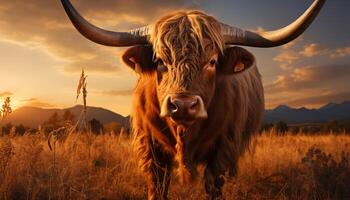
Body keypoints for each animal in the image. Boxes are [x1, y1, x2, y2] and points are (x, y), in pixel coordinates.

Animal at [61, 0, 326, 199]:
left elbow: (214, 187)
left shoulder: (223, 151)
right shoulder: (151, 149)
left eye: (212, 61)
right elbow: (158, 187)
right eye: (159, 61)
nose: (183, 105)